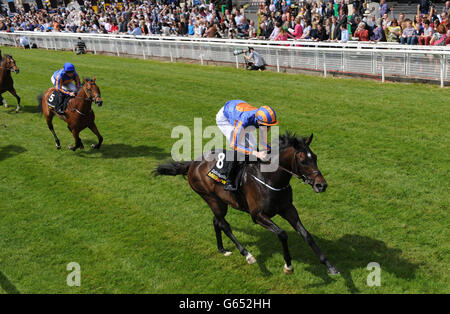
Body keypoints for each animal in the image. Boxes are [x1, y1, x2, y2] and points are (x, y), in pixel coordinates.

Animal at [156, 132, 340, 274]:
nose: (321, 185)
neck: (270, 178)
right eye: (303, 161)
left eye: (315, 157)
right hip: (210, 198)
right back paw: (247, 254)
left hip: (220, 202)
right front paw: (288, 266)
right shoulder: (257, 215)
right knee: (224, 225)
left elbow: (306, 235)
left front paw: (330, 266)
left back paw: (222, 249)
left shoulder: (288, 209)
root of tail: (193, 163)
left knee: (216, 221)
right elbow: (282, 234)